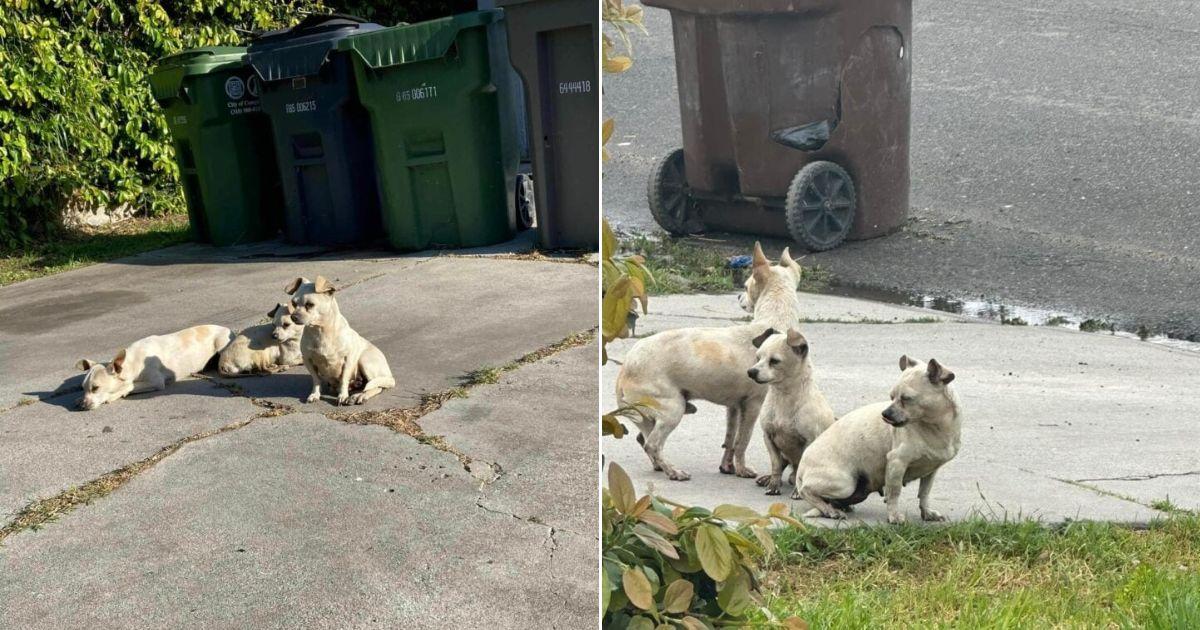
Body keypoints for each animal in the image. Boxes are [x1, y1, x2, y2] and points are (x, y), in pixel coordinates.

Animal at [77, 321, 234, 410]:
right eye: (83, 388)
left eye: (95, 388)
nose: (82, 406)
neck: (132, 362)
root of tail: (229, 329)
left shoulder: (156, 382)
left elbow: (130, 386)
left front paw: (116, 394)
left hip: (221, 344)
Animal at [288, 277, 396, 405]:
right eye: (294, 304)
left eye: (310, 304)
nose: (293, 317)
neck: (321, 331)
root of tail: (389, 375)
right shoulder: (307, 360)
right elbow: (316, 379)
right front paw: (315, 394)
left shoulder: (348, 360)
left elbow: (344, 379)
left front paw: (342, 396)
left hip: (364, 360)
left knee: (376, 386)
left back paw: (360, 396)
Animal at [614, 243, 801, 480]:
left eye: (745, 287)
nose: (738, 296)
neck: (773, 323)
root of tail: (624, 369)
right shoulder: (752, 405)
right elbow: (743, 441)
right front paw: (742, 469)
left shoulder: (734, 407)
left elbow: (731, 440)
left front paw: (728, 467)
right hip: (673, 408)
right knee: (652, 444)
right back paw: (673, 471)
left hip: (652, 414)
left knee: (644, 439)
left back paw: (660, 465)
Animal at [748, 326, 835, 494]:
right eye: (757, 358)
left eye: (774, 361)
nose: (751, 372)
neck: (783, 397)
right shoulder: (769, 438)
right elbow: (775, 465)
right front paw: (773, 485)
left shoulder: (808, 441)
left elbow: (801, 470)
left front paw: (797, 493)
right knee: (784, 466)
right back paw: (768, 478)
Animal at [796, 355, 964, 523]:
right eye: (891, 397)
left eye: (907, 399)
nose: (885, 414)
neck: (935, 427)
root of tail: (800, 468)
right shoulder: (897, 462)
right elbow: (894, 492)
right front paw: (894, 516)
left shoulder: (931, 471)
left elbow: (924, 494)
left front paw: (927, 512)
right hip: (845, 484)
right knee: (806, 491)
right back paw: (829, 510)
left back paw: (836, 507)